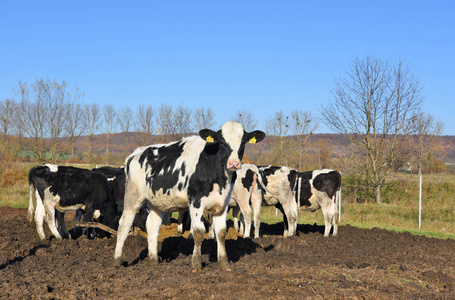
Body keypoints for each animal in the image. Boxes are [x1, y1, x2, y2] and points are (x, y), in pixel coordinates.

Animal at [112, 120, 268, 270]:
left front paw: (224, 264)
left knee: (152, 226)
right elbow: (199, 232)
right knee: (124, 225)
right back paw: (117, 260)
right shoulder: (196, 201)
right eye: (222, 142)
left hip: (157, 202)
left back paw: (154, 261)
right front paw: (196, 264)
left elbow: (221, 232)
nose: (234, 163)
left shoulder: (222, 203)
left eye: (243, 142)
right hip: (132, 196)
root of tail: (136, 153)